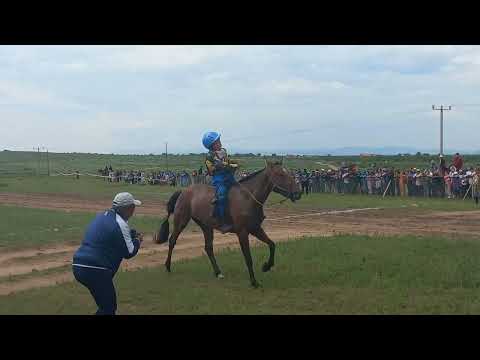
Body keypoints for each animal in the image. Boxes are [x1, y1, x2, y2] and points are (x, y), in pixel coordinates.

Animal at [155, 160, 300, 286]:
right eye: (280, 174)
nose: (298, 193)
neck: (248, 198)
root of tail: (184, 191)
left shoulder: (256, 229)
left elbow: (272, 245)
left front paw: (266, 266)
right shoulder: (242, 232)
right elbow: (248, 258)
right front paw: (254, 282)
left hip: (206, 226)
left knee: (208, 248)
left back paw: (218, 272)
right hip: (181, 221)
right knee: (172, 241)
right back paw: (168, 266)